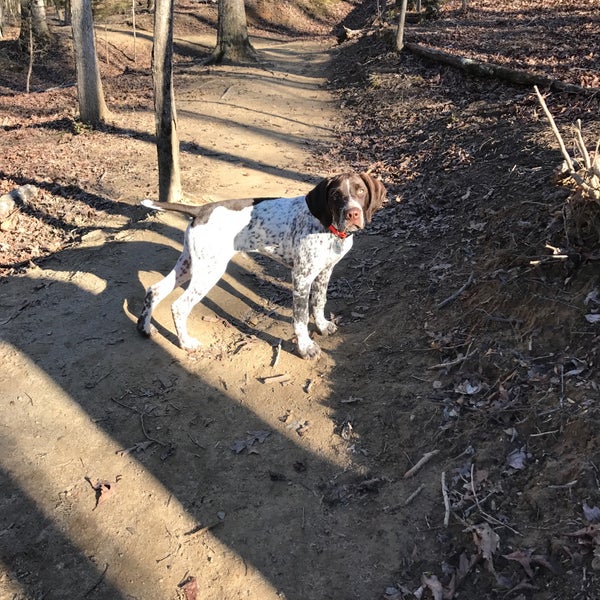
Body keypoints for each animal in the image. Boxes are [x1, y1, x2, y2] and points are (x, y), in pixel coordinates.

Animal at [138, 173, 386, 358]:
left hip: (190, 263)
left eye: (360, 191)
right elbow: (300, 317)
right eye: (335, 195)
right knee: (179, 306)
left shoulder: (324, 272)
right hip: (210, 270)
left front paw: (323, 326)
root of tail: (201, 210)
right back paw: (186, 343)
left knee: (154, 290)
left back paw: (145, 327)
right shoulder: (301, 278)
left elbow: (319, 302)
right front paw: (305, 347)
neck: (328, 227)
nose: (352, 214)